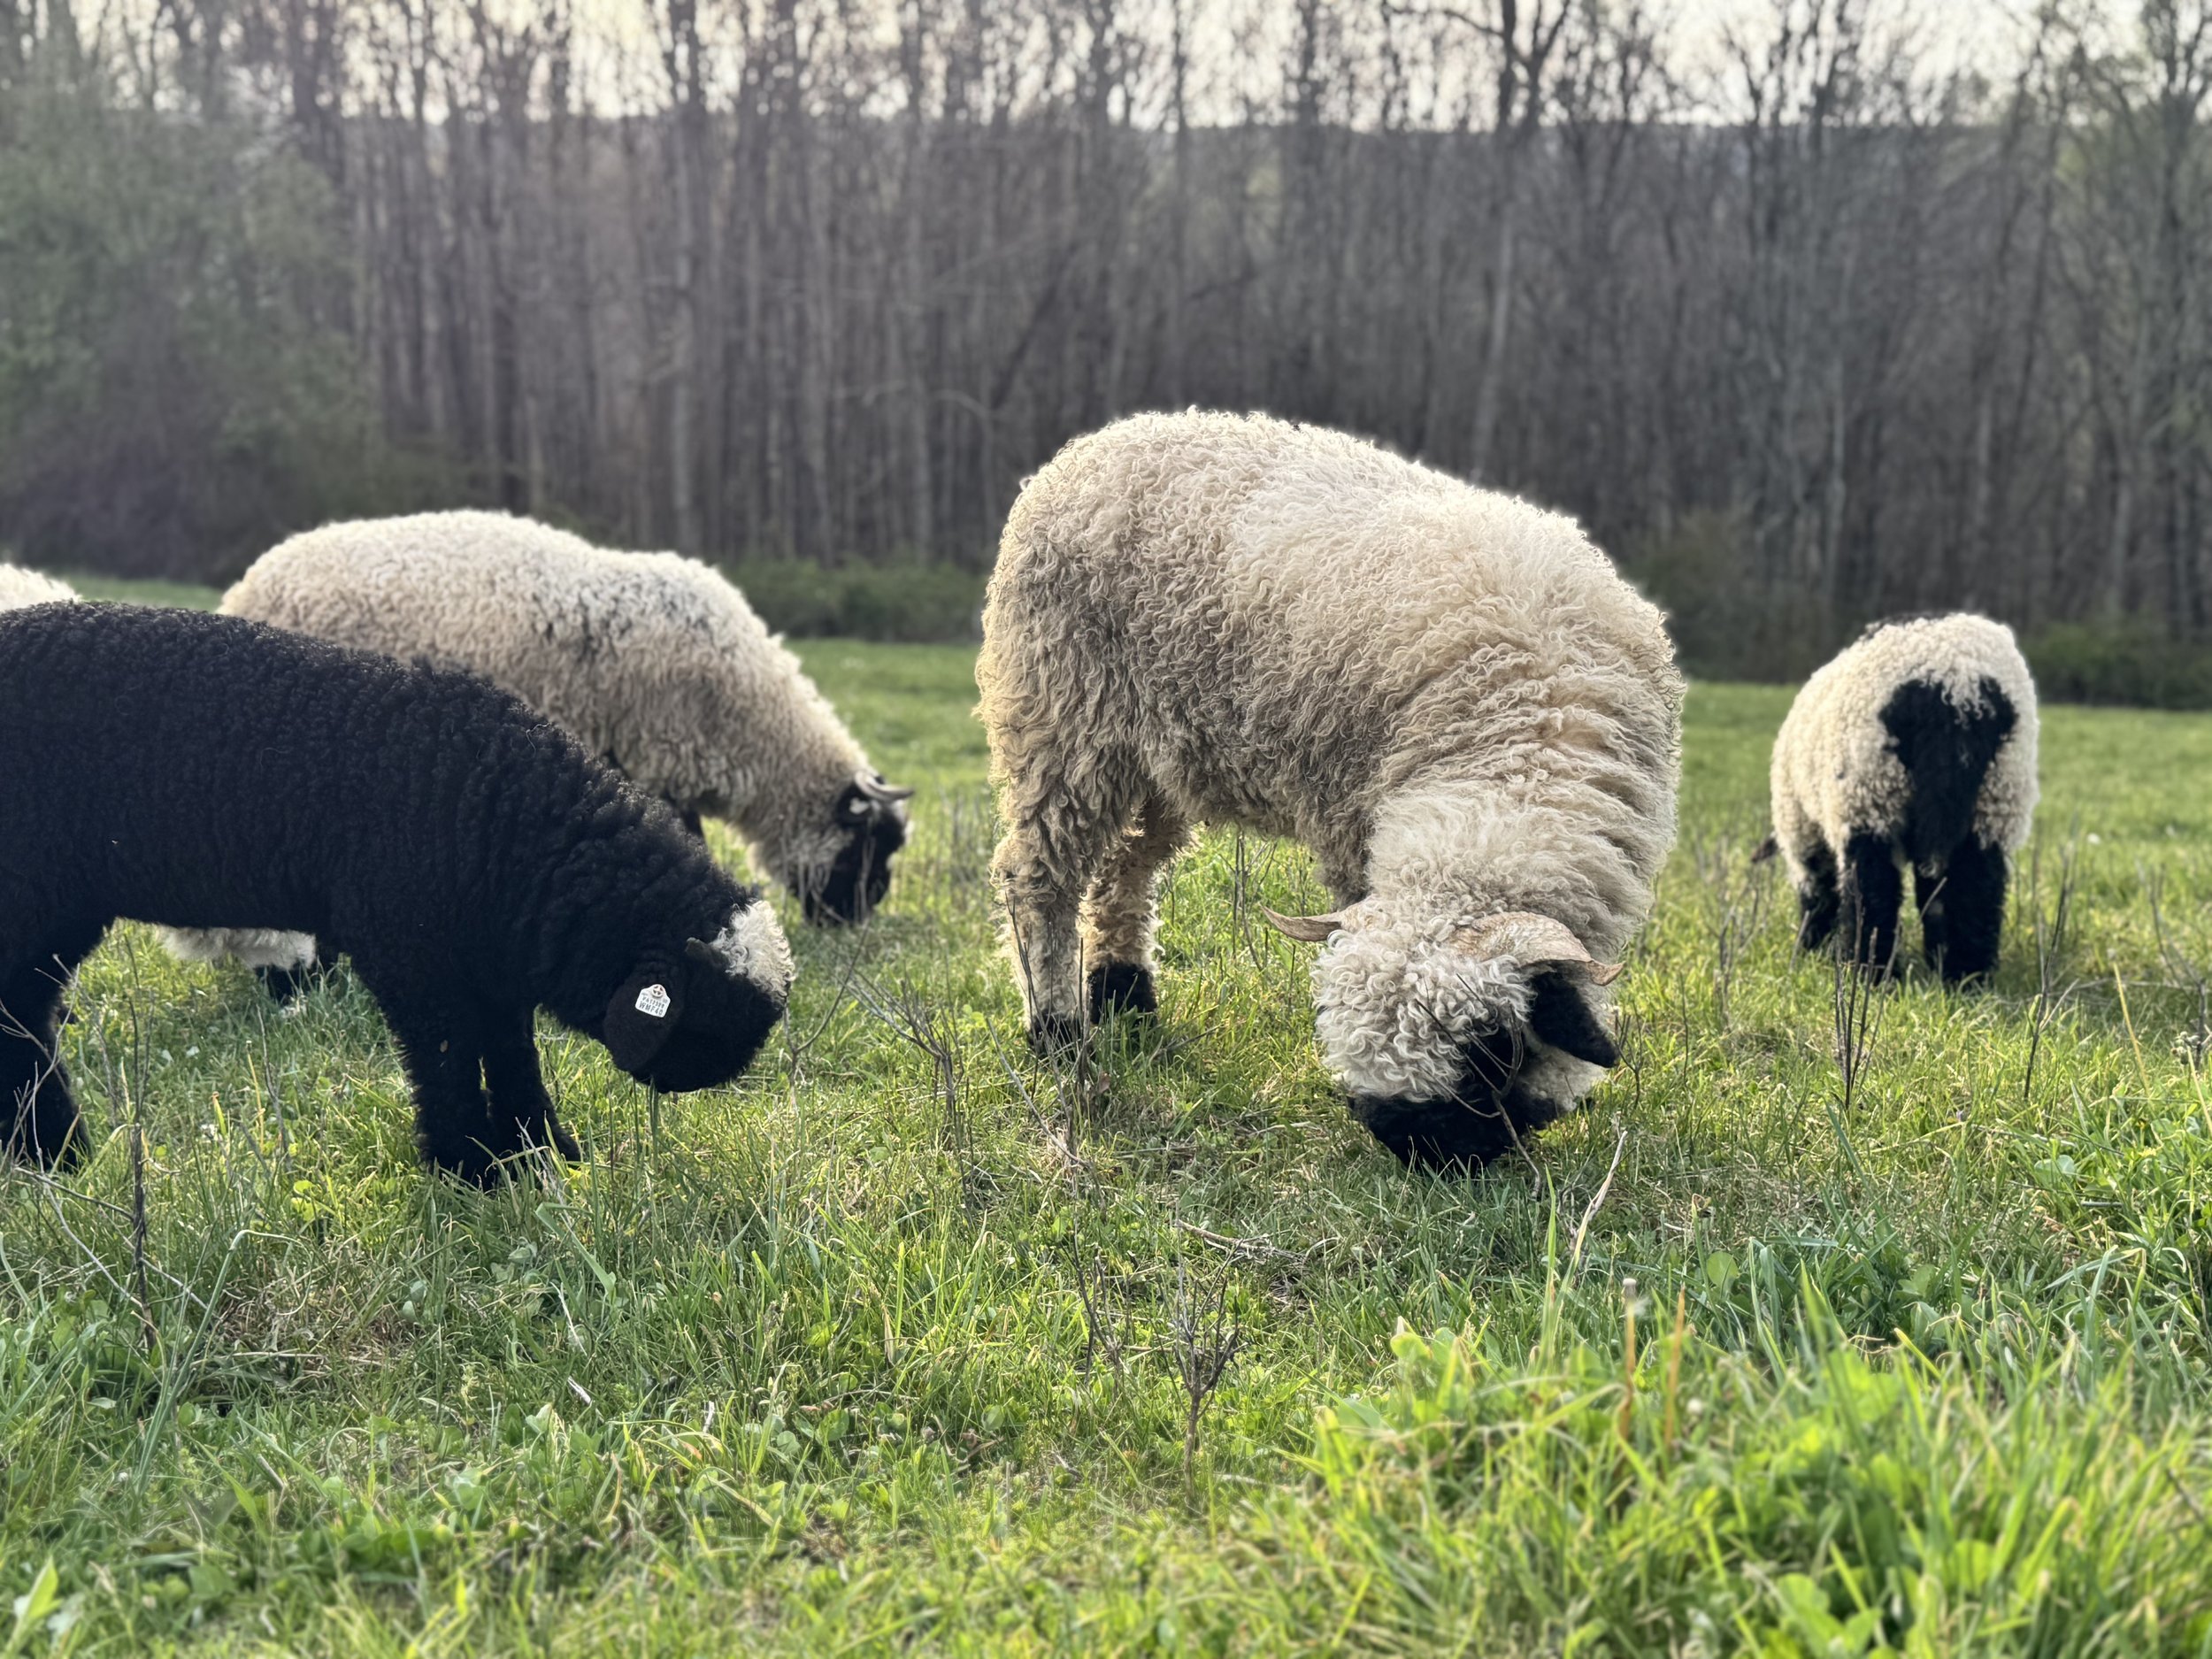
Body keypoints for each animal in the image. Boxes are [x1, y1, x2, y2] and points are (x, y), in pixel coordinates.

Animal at [0, 602, 794, 1181]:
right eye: (708, 1023)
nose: (698, 1085)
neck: (498, 814)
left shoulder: (489, 959)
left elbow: (512, 1051)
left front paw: (542, 1152)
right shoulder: (410, 953)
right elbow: (446, 1056)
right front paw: (470, 1168)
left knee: (26, 1016)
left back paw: (52, 1155)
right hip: (29, 890)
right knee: (18, 1018)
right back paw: (53, 1153)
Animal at [977, 410, 1684, 1170]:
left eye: (1493, 1050)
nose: (1430, 1157)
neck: (1521, 745)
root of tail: (1090, 448)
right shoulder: (1353, 819)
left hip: (1155, 752)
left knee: (1124, 871)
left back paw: (1124, 995)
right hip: (1063, 715)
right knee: (1039, 875)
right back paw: (1056, 1028)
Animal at [1764, 612, 2038, 981]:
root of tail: (1957, 687)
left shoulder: (1804, 829)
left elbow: (1819, 894)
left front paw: (1812, 948)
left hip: (1867, 794)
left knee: (1872, 890)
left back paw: (1868, 974)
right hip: (1996, 797)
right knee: (1974, 887)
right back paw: (1964, 977)